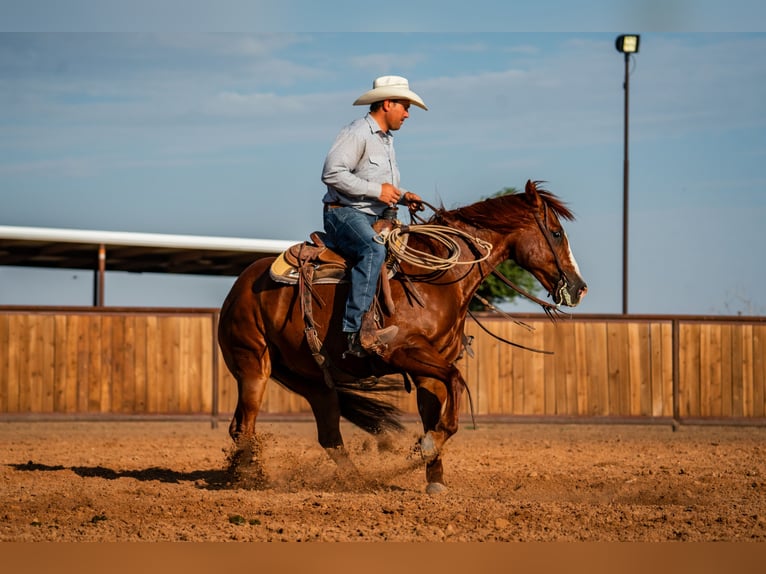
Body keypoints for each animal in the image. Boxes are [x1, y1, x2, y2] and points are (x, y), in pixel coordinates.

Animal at [217, 180, 587, 494]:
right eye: (556, 233)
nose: (578, 287)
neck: (436, 277)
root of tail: (237, 289)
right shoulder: (401, 350)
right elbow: (456, 383)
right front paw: (426, 447)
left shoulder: (430, 366)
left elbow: (436, 409)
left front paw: (434, 476)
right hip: (253, 367)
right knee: (244, 426)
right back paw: (249, 479)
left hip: (313, 381)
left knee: (325, 435)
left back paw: (357, 482)